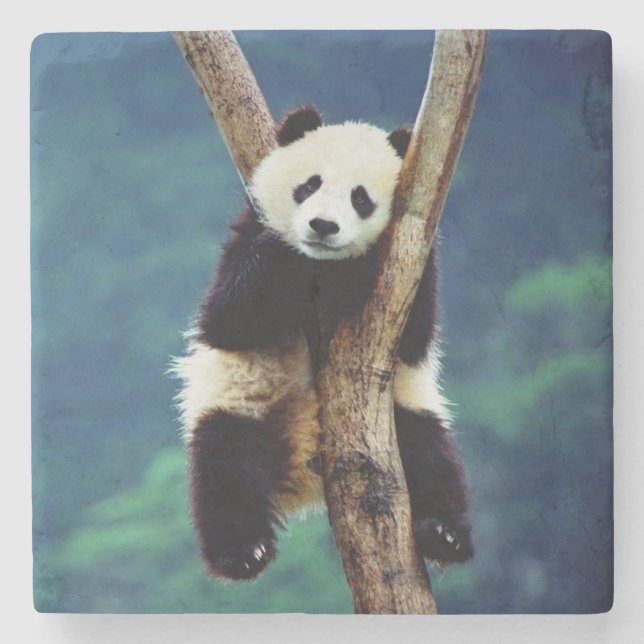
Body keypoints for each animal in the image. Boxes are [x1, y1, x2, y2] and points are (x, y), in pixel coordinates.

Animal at [174, 105, 473, 581]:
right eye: (310, 184)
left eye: (361, 198)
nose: (322, 226)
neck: (323, 267)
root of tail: (302, 471)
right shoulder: (247, 232)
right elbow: (227, 318)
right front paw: (283, 252)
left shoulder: (409, 264)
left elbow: (414, 337)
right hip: (239, 403)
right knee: (224, 469)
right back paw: (244, 552)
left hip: (402, 414)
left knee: (431, 455)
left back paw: (445, 534)